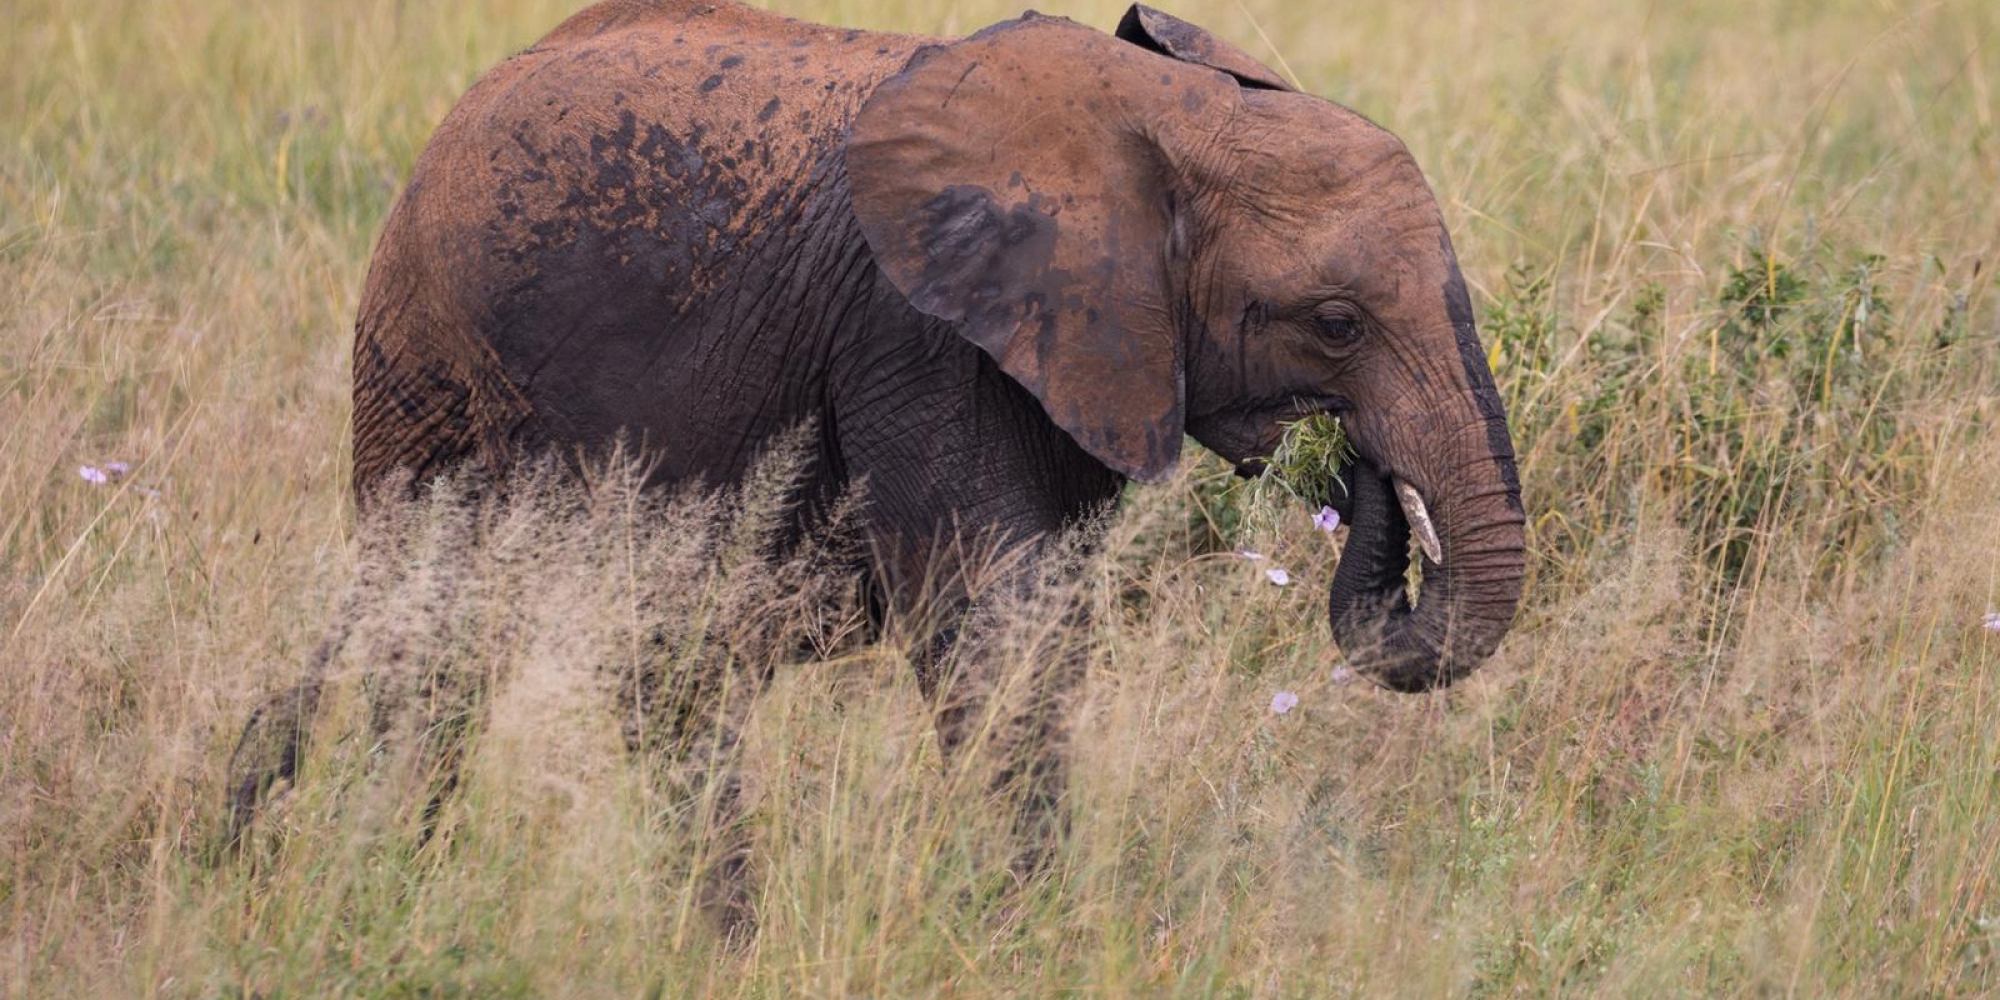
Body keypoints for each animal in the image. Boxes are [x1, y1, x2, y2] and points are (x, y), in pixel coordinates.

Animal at [227, 0, 1520, 884]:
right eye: (1336, 323)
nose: (1360, 469)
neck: (1158, 113)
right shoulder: (918, 333)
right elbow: (992, 627)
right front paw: (1025, 925)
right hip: (424, 354)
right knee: (432, 631)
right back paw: (392, 874)